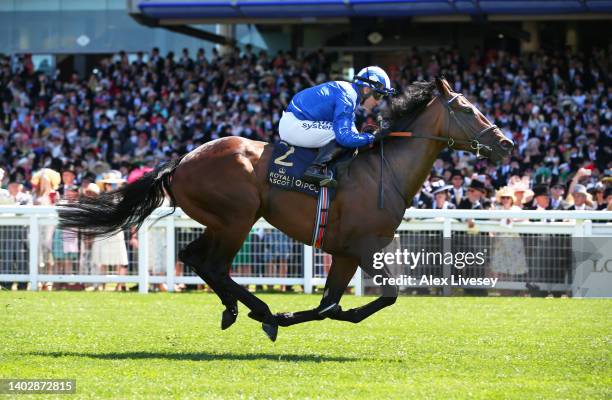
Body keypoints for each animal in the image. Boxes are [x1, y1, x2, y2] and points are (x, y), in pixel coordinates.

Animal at [59, 77, 512, 340]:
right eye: (467, 109)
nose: (506, 143)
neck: (385, 172)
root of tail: (182, 161)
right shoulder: (364, 247)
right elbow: (381, 298)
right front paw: (286, 315)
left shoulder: (345, 251)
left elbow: (331, 305)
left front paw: (298, 313)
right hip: (237, 219)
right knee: (214, 264)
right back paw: (258, 310)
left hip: (221, 221)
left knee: (195, 258)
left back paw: (236, 310)